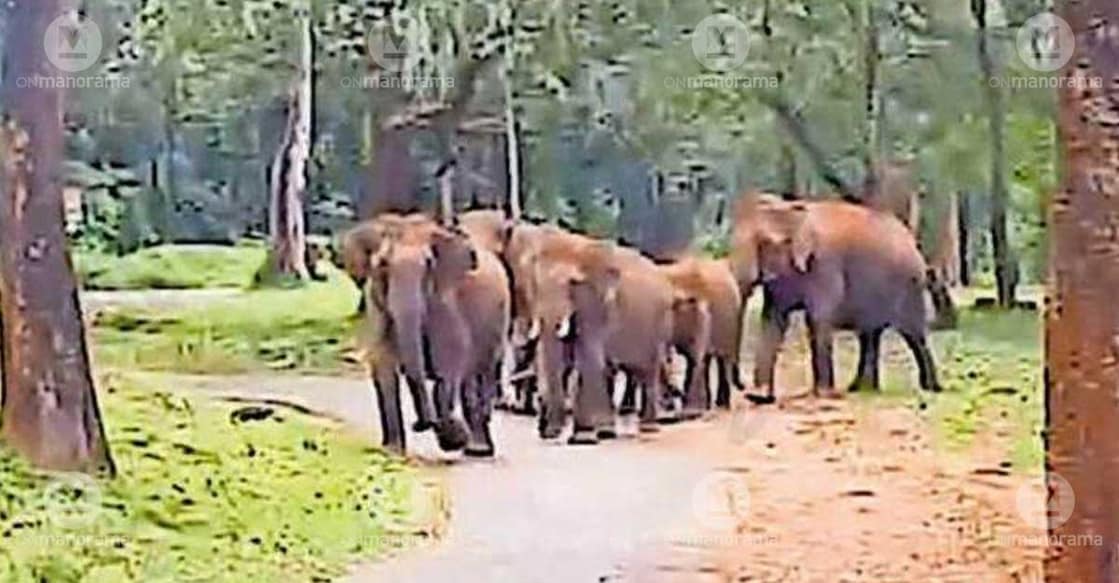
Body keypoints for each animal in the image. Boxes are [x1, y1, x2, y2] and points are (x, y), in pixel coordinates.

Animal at [341, 214, 510, 456]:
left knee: (478, 375)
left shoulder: (446, 300)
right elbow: (383, 363)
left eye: (429, 266)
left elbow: (450, 359)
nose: (420, 424)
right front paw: (393, 451)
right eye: (383, 265)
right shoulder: (377, 303)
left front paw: (453, 439)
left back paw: (477, 448)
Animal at [728, 193, 942, 403]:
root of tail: (912, 240)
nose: (744, 388)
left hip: (910, 286)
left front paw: (823, 395)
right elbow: (772, 320)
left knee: (913, 333)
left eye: (763, 242)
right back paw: (860, 389)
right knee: (870, 335)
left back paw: (931, 388)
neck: (792, 209)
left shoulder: (824, 266)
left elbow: (817, 319)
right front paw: (759, 396)